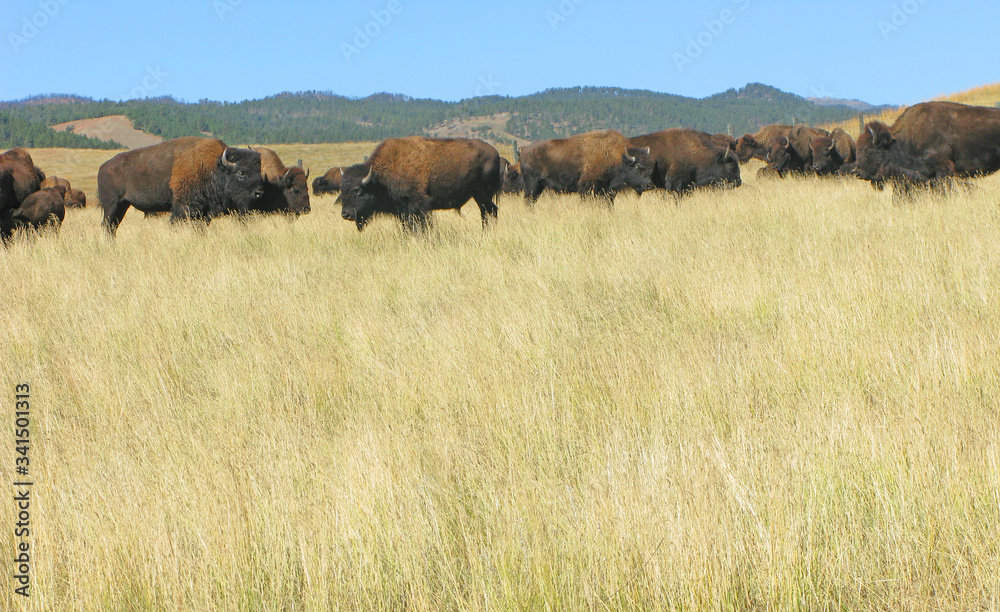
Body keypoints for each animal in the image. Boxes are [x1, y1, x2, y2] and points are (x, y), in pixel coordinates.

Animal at [97, 136, 266, 234]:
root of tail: (103, 167)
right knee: (107, 225)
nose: (259, 193)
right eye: (241, 173)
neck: (215, 167)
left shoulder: (204, 213)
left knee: (112, 227)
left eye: (259, 172)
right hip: (112, 204)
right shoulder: (182, 209)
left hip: (123, 205)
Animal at [338, 137, 508, 232]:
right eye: (343, 191)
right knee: (488, 212)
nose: (345, 214)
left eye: (358, 190)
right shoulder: (403, 211)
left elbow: (421, 226)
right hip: (479, 196)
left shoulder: (418, 207)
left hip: (483, 194)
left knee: (490, 211)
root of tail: (495, 153)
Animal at [516, 130, 656, 204]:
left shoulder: (609, 192)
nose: (649, 185)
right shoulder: (587, 189)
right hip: (532, 186)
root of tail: (523, 151)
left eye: (650, 167)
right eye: (638, 167)